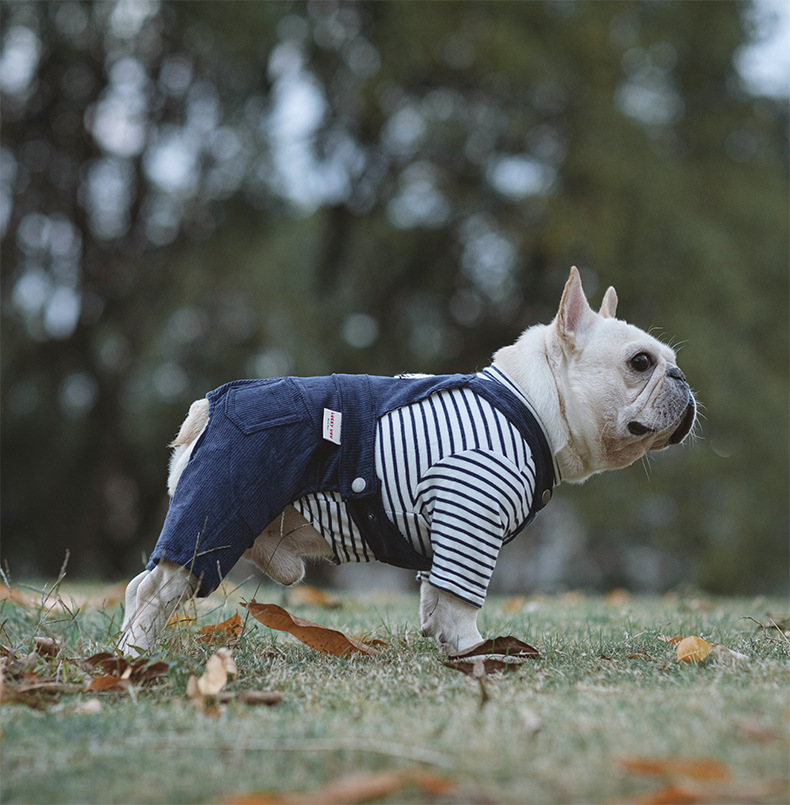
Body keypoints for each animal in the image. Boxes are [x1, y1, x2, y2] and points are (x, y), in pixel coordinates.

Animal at [120, 266, 696, 656]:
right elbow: (462, 597)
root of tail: (211, 405)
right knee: (155, 588)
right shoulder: (471, 512)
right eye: (640, 362)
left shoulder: (449, 533)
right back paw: (134, 654)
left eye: (671, 362)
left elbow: (437, 595)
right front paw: (475, 649)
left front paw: (448, 645)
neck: (531, 403)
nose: (681, 379)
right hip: (215, 516)